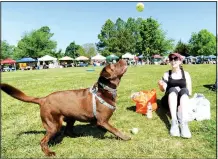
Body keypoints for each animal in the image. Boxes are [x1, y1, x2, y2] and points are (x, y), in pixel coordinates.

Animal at [0, 59, 130, 157]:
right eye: (114, 65)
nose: (124, 58)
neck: (104, 91)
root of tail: (43, 99)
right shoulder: (103, 121)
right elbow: (115, 130)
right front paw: (125, 137)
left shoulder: (100, 122)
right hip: (53, 125)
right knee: (43, 141)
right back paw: (49, 152)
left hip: (70, 118)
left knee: (67, 131)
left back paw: (75, 135)